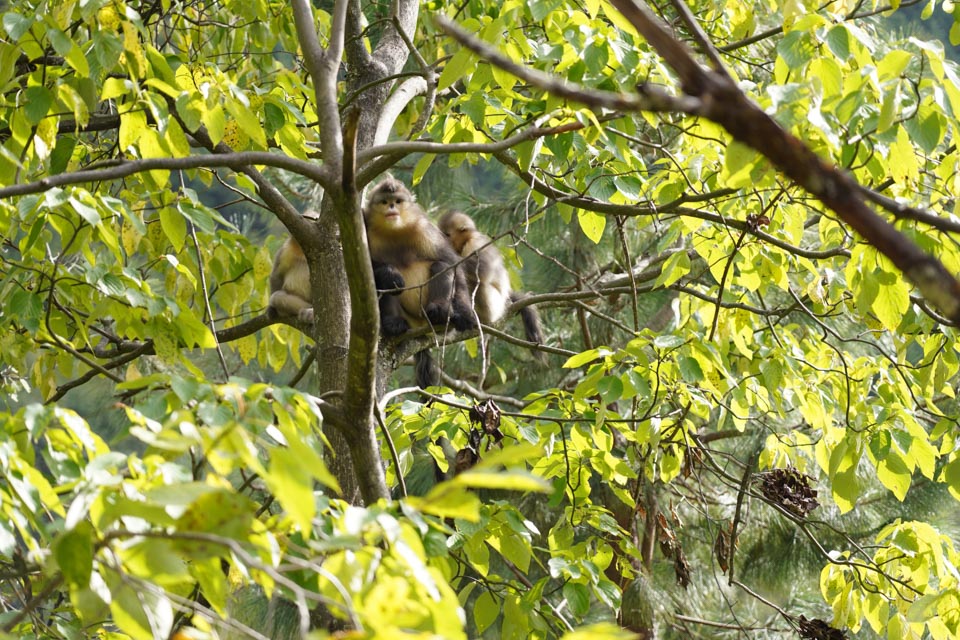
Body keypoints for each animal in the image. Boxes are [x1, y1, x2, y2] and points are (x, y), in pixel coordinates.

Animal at [436, 212, 544, 358]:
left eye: (446, 235)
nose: (442, 241)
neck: (465, 242)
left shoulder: (475, 244)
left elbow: (483, 270)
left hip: (494, 305)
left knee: (478, 284)